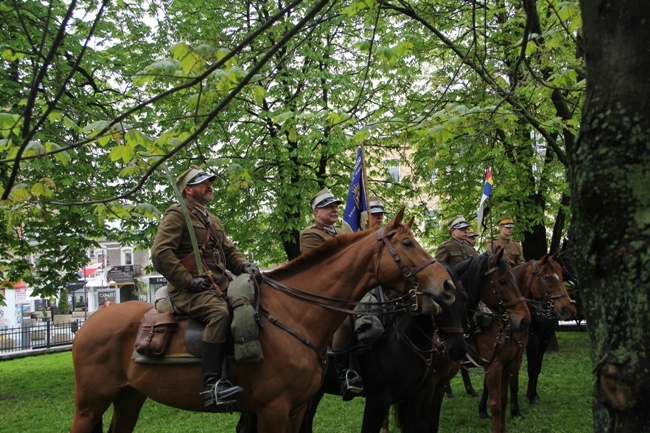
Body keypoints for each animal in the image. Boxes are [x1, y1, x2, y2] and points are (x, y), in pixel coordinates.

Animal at [292, 262, 466, 432]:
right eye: (438, 299)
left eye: (464, 297)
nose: (458, 348)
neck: (404, 336)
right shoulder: (378, 400)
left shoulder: (416, 398)